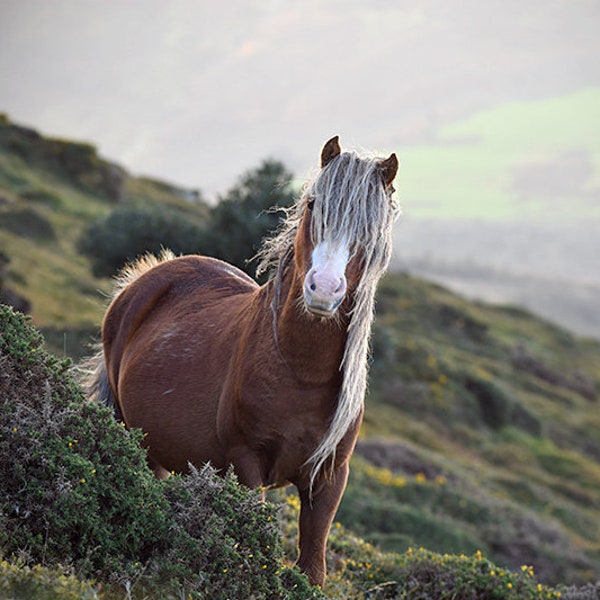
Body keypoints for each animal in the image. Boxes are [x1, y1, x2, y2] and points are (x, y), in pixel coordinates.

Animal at [84, 137, 400, 584]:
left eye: (373, 226)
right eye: (313, 204)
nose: (323, 289)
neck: (300, 373)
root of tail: (149, 274)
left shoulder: (329, 479)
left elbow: (312, 565)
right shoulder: (246, 462)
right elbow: (254, 544)